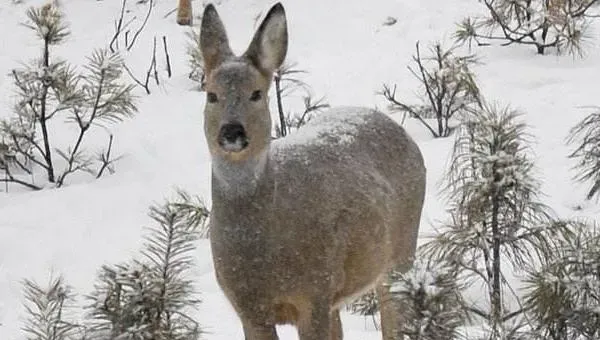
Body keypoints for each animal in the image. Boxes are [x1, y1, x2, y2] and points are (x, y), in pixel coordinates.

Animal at [202, 3, 426, 340]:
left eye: (256, 93)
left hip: (400, 251)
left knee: (393, 322)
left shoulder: (312, 292)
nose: (231, 131)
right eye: (211, 95)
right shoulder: (248, 308)